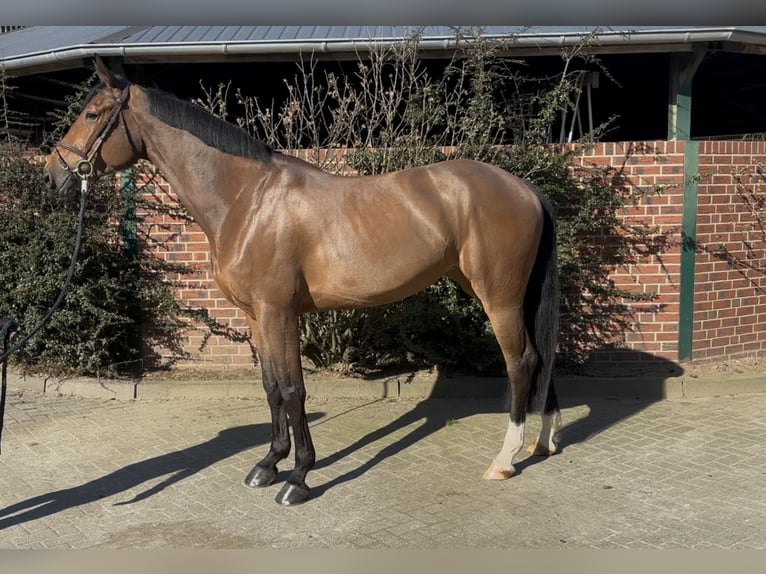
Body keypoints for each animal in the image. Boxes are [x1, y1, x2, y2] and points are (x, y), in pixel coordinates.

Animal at [45, 57, 564, 508]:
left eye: (92, 113)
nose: (53, 175)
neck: (246, 199)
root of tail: (525, 189)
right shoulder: (256, 316)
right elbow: (271, 386)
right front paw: (268, 464)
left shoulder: (279, 312)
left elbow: (294, 390)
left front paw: (297, 477)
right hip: (503, 292)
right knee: (541, 356)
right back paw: (543, 443)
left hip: (498, 296)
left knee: (521, 361)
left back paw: (504, 460)